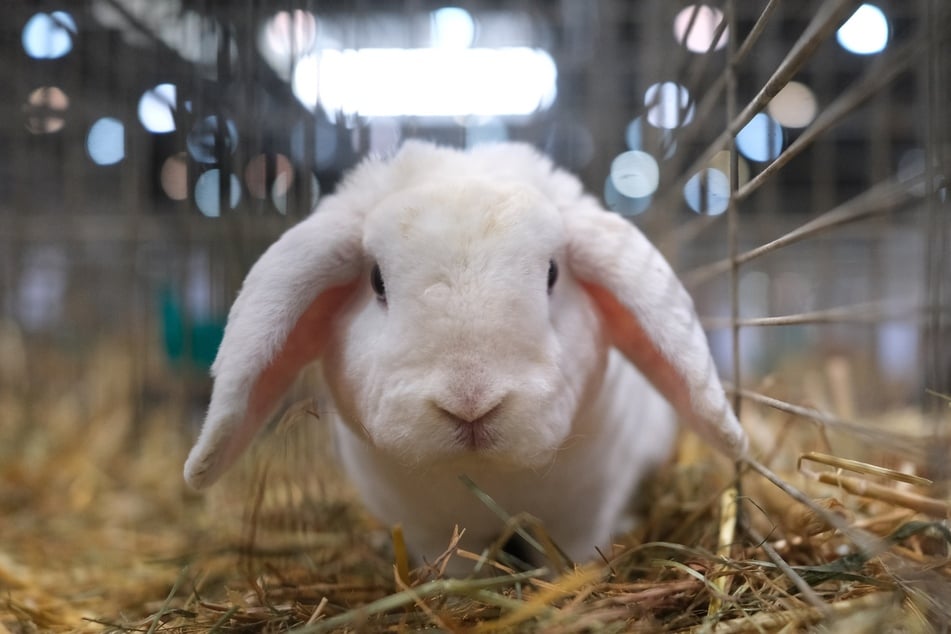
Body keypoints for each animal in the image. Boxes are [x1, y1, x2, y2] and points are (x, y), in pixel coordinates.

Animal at [183, 140, 747, 573]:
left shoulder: (585, 509)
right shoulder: (425, 528)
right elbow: (448, 563)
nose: (470, 401)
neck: (486, 475)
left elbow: (571, 553)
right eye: (377, 282)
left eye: (551, 275)